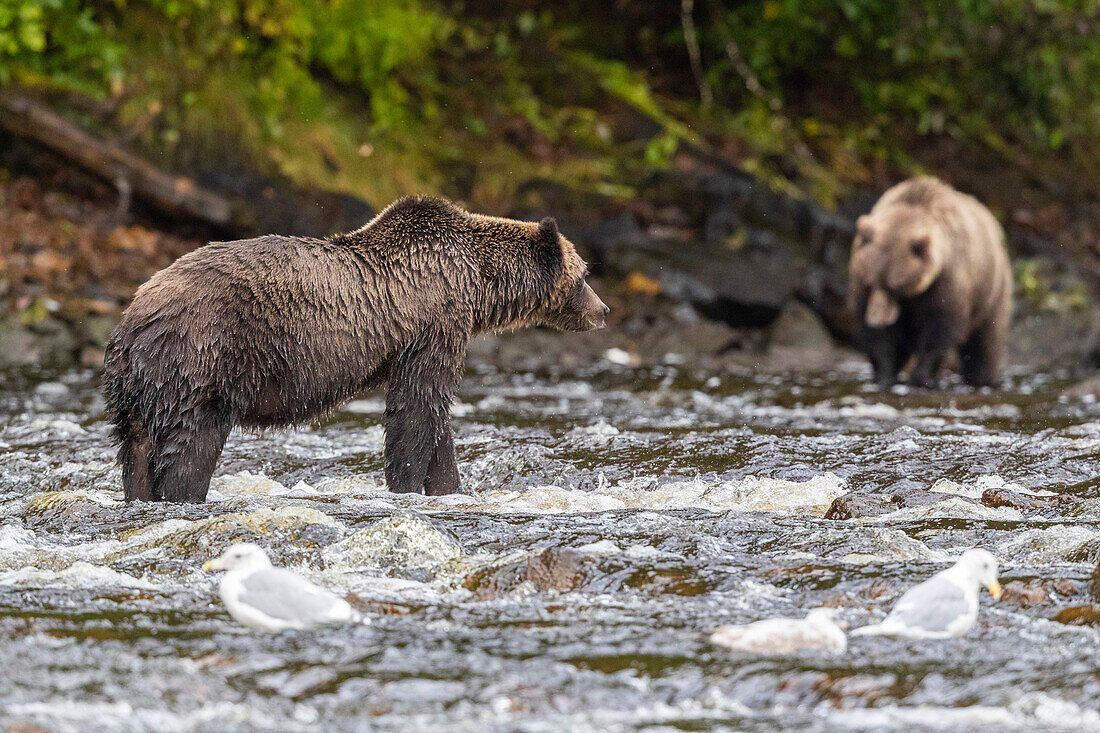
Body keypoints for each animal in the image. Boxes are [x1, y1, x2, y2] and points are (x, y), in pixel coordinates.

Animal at [103, 196, 609, 502]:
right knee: (193, 442)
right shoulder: (434, 325)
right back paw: (184, 494)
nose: (602, 310)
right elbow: (416, 410)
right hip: (205, 358)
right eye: (584, 274)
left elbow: (435, 419)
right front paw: (407, 486)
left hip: (136, 388)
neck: (475, 285)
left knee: (136, 449)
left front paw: (449, 487)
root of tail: (133, 320)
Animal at [848, 176, 1012, 389]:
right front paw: (884, 374)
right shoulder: (863, 290)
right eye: (870, 282)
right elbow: (881, 339)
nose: (875, 319)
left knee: (985, 341)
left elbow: (940, 327)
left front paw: (922, 377)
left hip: (991, 291)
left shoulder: (946, 280)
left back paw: (981, 377)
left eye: (894, 286)